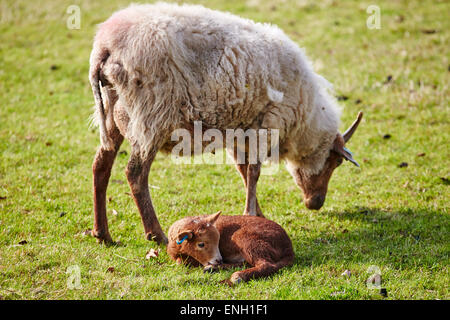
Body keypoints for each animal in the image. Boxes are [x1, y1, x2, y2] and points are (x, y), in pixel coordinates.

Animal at [88, 2, 362, 245]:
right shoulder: (268, 122)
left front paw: (257, 214)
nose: (315, 203)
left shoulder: (239, 131)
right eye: (336, 162)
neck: (304, 119)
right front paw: (251, 213)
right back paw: (155, 234)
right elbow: (254, 172)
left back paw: (102, 234)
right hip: (152, 115)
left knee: (101, 165)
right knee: (135, 174)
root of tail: (104, 46)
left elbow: (243, 170)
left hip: (113, 112)